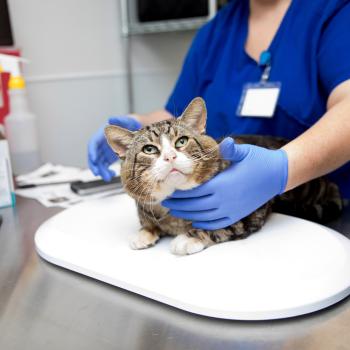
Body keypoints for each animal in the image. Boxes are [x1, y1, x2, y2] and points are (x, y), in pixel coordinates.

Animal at [104, 97, 342, 256]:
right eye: (149, 149)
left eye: (182, 141)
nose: (170, 156)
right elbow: (148, 224)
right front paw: (143, 233)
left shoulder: (246, 216)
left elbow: (218, 228)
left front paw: (188, 238)